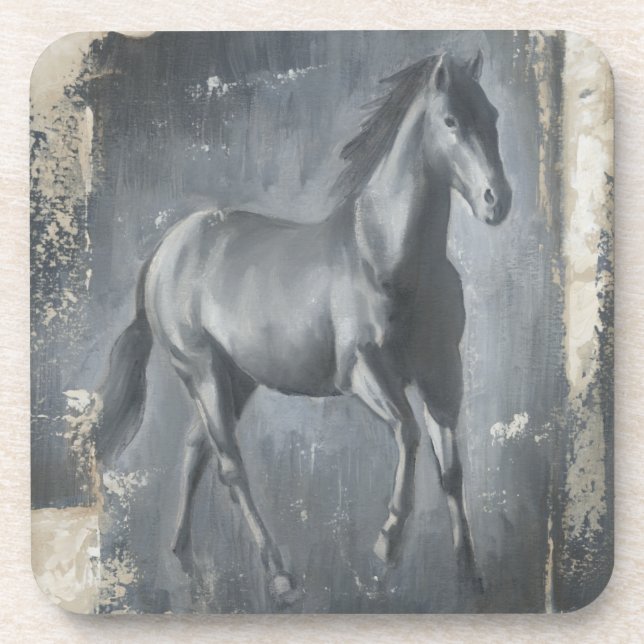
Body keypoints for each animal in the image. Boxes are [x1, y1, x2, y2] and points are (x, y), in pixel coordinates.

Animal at [96, 50, 512, 606]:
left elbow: (451, 469)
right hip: (201, 370)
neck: (389, 257)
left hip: (236, 379)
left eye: (492, 116)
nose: (496, 201)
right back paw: (279, 576)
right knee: (230, 464)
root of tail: (166, 249)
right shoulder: (362, 372)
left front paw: (469, 574)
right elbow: (407, 434)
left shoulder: (443, 376)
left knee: (196, 451)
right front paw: (387, 544)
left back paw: (182, 554)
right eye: (450, 121)